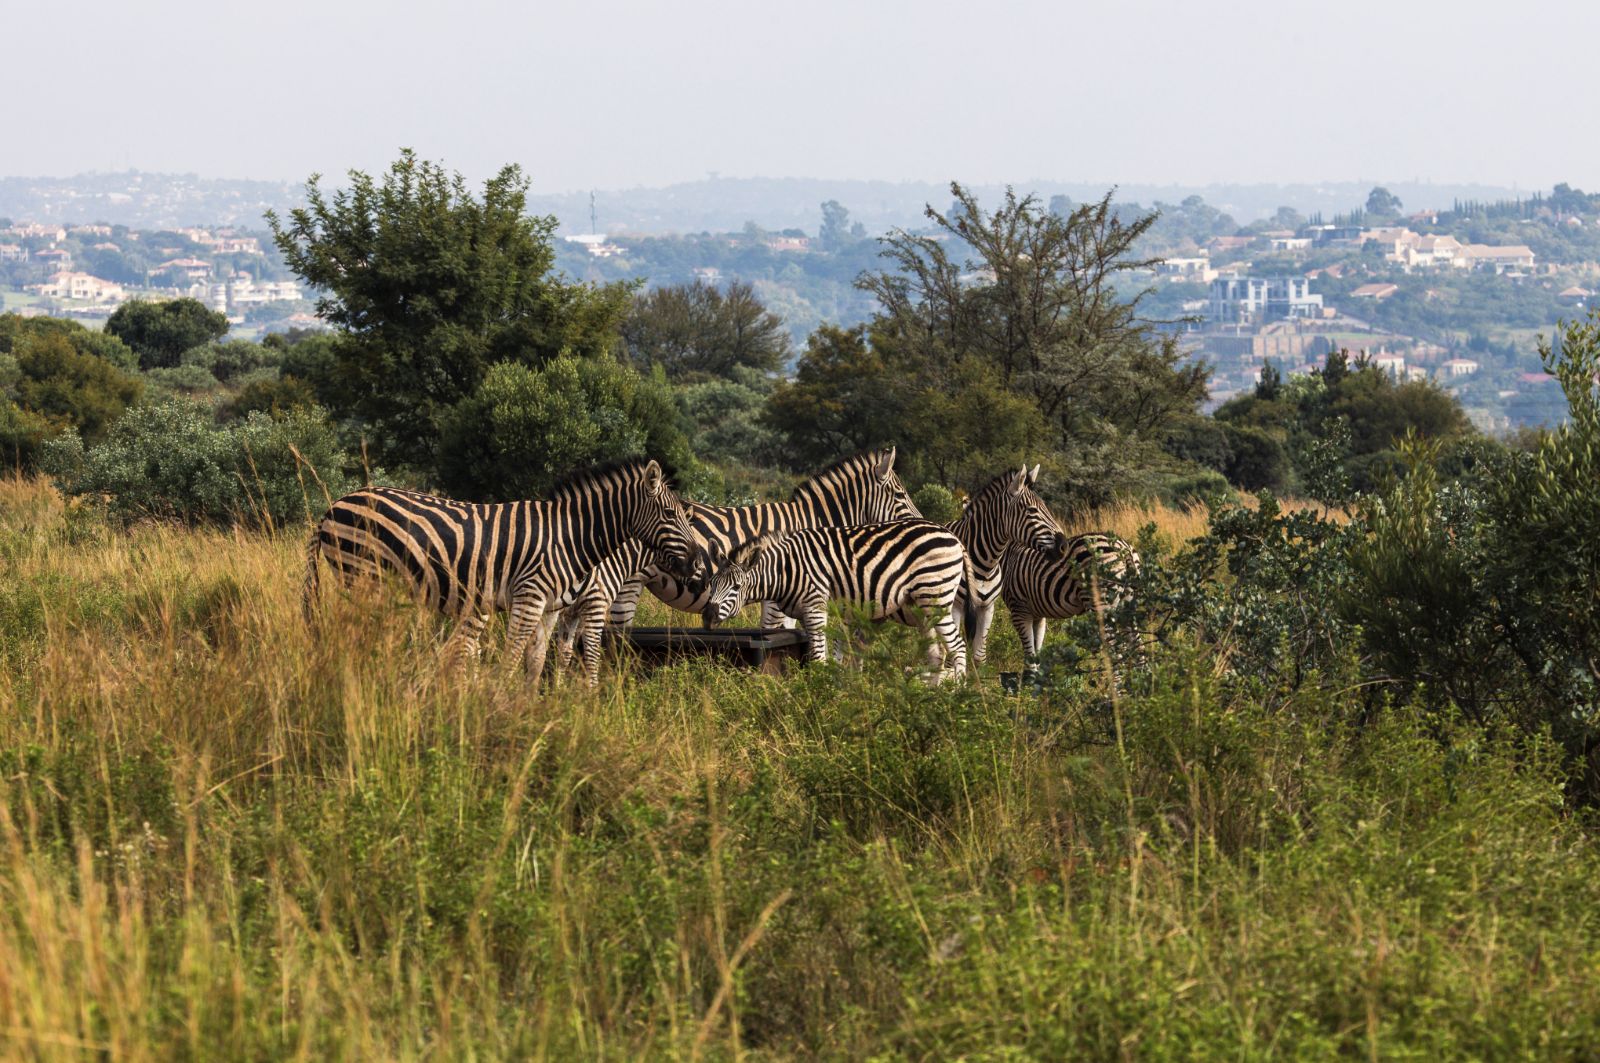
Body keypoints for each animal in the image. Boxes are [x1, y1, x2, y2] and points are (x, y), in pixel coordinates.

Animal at [302, 460, 703, 683]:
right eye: (670, 515)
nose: (698, 562)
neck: (571, 535)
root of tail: (332, 506)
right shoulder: (532, 598)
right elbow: (515, 658)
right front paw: (503, 710)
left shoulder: (551, 608)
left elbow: (537, 662)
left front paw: (528, 714)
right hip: (362, 576)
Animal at [700, 520, 976, 677]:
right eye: (712, 584)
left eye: (736, 586)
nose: (708, 617)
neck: (786, 569)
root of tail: (954, 537)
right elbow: (826, 653)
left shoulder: (815, 606)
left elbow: (820, 657)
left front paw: (820, 694)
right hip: (922, 610)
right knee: (936, 654)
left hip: (935, 597)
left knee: (958, 647)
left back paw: (955, 695)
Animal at [947, 465, 1068, 671]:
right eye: (1031, 510)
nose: (1064, 546)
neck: (984, 565)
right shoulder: (956, 606)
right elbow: (952, 656)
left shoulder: (987, 607)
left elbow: (979, 656)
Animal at [1002, 532, 1141, 668]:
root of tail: (1124, 547)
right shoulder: (1037, 615)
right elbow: (1036, 652)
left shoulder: (1019, 610)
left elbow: (1029, 656)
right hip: (1127, 605)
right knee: (1138, 648)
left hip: (1102, 605)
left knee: (1116, 653)